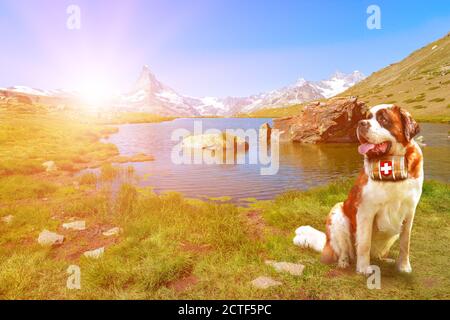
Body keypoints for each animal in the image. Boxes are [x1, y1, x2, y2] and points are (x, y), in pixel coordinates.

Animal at [294, 104, 424, 274]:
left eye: (383, 119)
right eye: (367, 117)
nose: (361, 123)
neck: (391, 167)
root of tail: (327, 244)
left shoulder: (409, 211)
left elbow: (405, 242)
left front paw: (403, 267)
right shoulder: (366, 211)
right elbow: (364, 243)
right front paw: (363, 269)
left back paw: (385, 259)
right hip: (338, 214)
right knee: (344, 250)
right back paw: (344, 262)